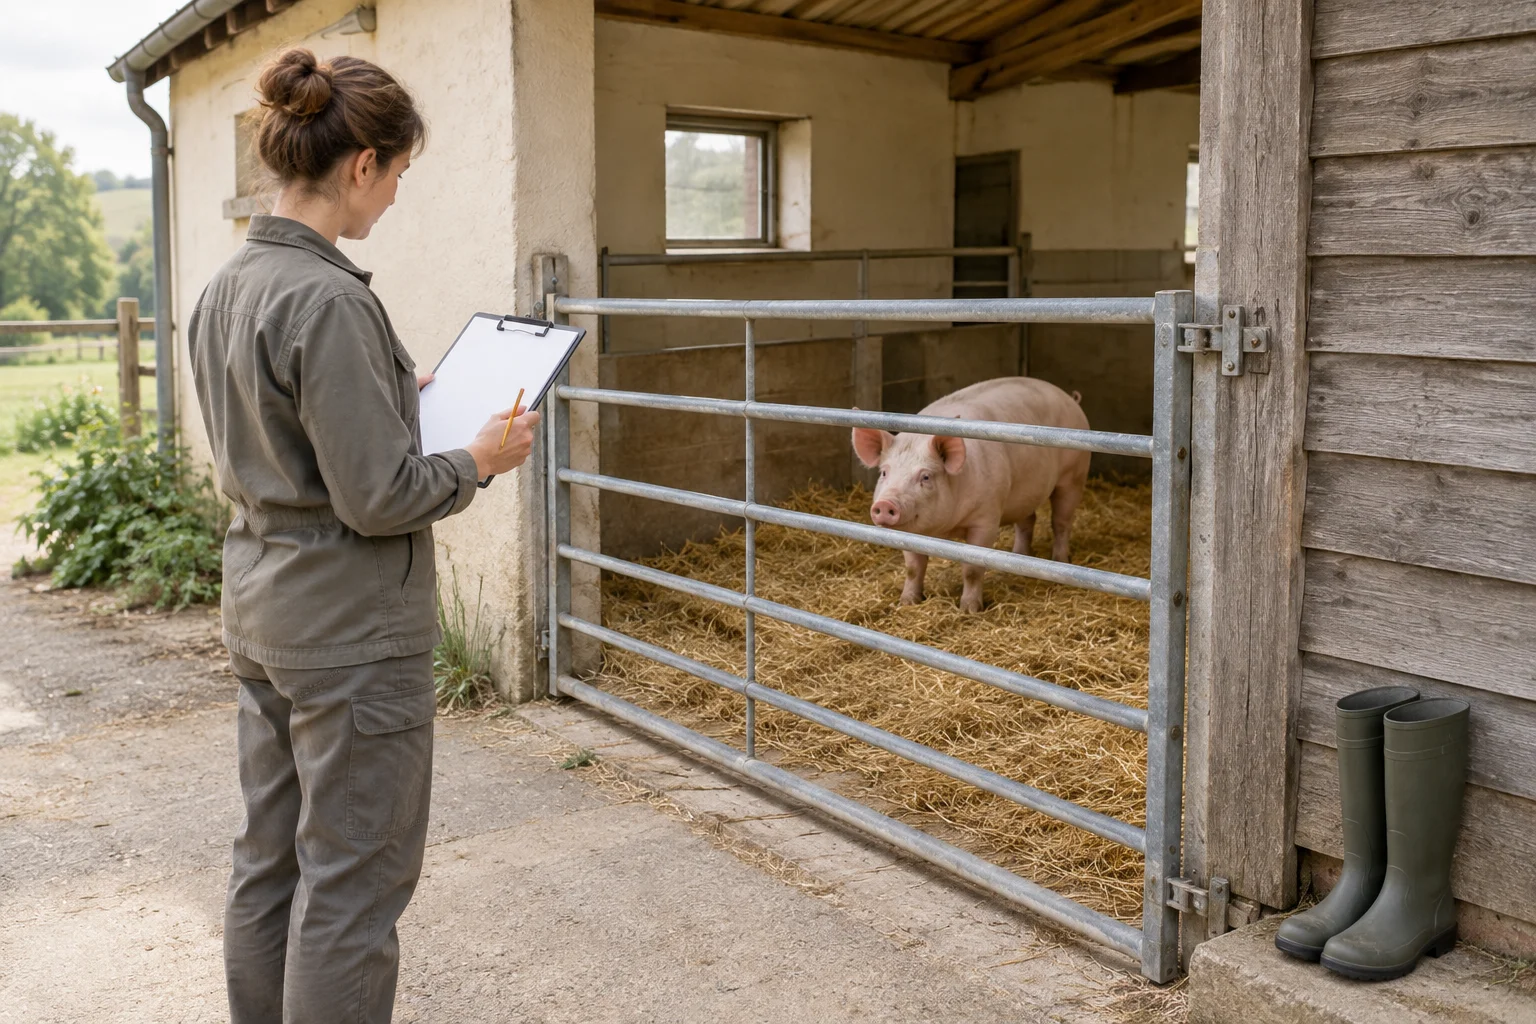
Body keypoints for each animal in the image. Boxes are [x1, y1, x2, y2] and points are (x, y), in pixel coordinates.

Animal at [852, 377, 1090, 613]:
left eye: (926, 477)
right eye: (884, 472)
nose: (885, 504)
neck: (946, 529)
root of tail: (1070, 399)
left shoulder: (986, 519)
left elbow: (972, 569)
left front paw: (969, 610)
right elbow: (913, 567)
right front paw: (907, 603)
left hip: (1073, 476)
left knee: (1061, 522)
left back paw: (1060, 560)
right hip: (1024, 493)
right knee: (1027, 520)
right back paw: (1015, 561)